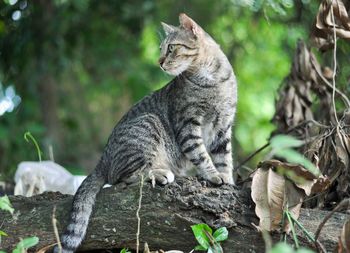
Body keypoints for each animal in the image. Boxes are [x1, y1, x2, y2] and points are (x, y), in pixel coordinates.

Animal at [56, 13, 238, 253]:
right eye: (162, 49)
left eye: (171, 48)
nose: (159, 62)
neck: (213, 79)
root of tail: (102, 161)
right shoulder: (188, 124)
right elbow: (201, 154)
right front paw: (213, 174)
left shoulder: (223, 125)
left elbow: (224, 157)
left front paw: (227, 178)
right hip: (148, 126)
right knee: (124, 178)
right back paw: (159, 173)